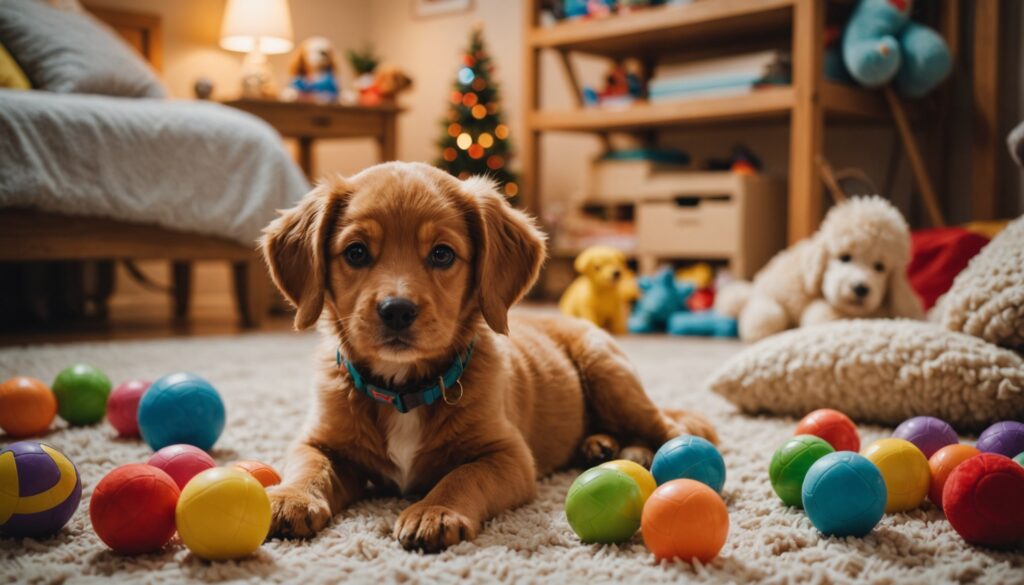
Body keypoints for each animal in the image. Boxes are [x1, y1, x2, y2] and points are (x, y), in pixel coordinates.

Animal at [260, 162, 716, 553]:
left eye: (442, 254)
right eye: (355, 252)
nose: (397, 310)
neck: (405, 389)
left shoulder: (508, 456)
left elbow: (463, 475)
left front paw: (435, 511)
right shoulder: (320, 440)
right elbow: (309, 464)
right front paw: (289, 497)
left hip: (611, 377)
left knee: (670, 427)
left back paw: (655, 456)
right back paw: (601, 446)